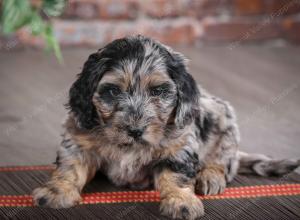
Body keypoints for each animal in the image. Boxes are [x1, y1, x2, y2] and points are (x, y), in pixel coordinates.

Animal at [32, 35, 300, 219]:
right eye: (113, 91)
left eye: (158, 91)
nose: (135, 130)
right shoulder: (78, 139)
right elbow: (70, 167)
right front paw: (56, 191)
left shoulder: (179, 145)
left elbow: (176, 175)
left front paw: (181, 202)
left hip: (224, 121)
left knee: (223, 160)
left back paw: (210, 176)